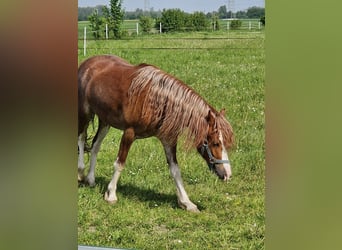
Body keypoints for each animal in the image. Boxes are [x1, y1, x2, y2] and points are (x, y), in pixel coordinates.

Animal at [78, 54, 234, 211]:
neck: (154, 100)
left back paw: (90, 179)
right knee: (81, 139)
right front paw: (111, 195)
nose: (227, 174)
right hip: (85, 114)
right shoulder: (129, 133)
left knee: (95, 145)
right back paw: (80, 173)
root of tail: (87, 63)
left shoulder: (168, 140)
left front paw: (186, 202)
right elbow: (120, 163)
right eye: (216, 143)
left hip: (105, 121)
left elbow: (175, 170)